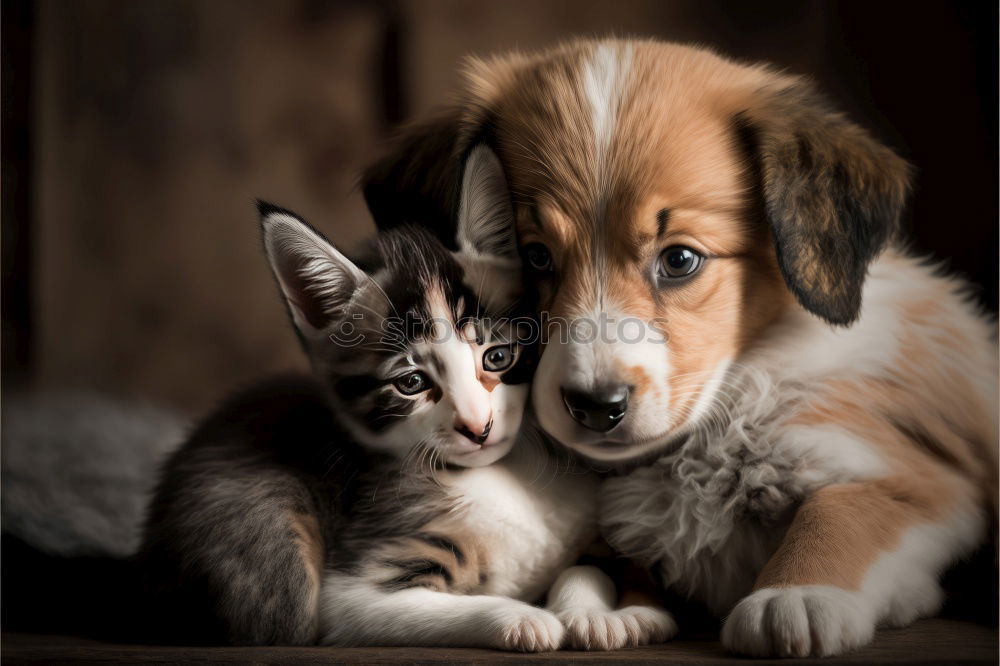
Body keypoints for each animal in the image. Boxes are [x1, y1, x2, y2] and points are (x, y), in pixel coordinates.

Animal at [364, 37, 996, 652]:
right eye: (534, 256)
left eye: (680, 260)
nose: (596, 407)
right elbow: (601, 565)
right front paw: (608, 611)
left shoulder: (917, 474)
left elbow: (842, 507)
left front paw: (794, 594)